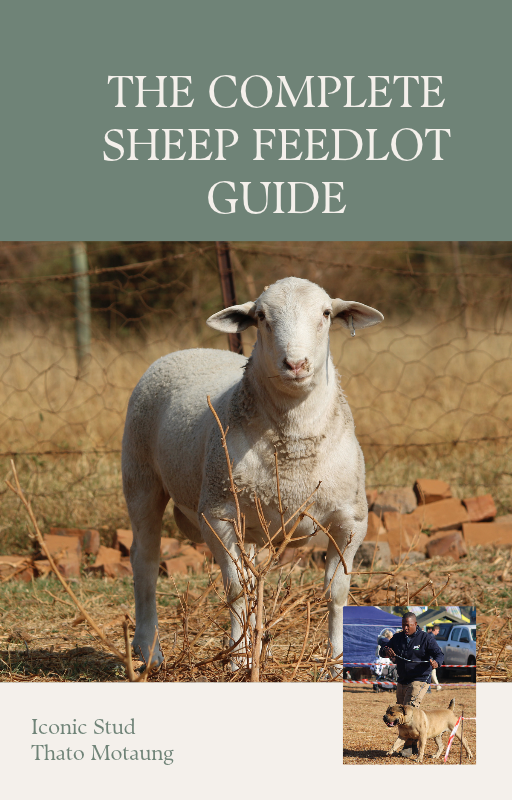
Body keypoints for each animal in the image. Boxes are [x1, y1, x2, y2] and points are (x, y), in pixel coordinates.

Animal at [122, 276, 384, 671]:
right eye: (261, 317)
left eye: (326, 313)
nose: (296, 363)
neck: (293, 445)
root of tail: (190, 349)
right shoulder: (216, 514)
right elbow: (235, 588)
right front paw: (240, 659)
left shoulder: (351, 520)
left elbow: (336, 591)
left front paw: (336, 662)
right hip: (141, 477)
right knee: (145, 562)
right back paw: (150, 648)